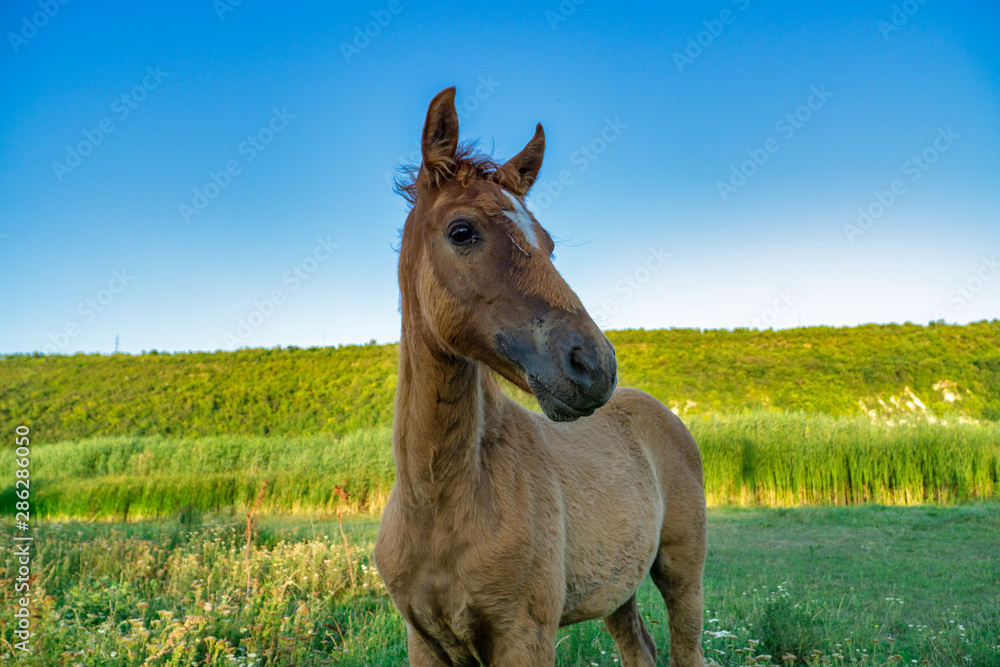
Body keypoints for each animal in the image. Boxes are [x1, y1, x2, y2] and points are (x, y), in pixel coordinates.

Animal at [373, 87, 707, 667]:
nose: (594, 365)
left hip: (683, 576)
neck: (440, 499)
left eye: (549, 244)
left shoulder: (524, 635)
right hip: (616, 589)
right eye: (462, 231)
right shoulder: (425, 641)